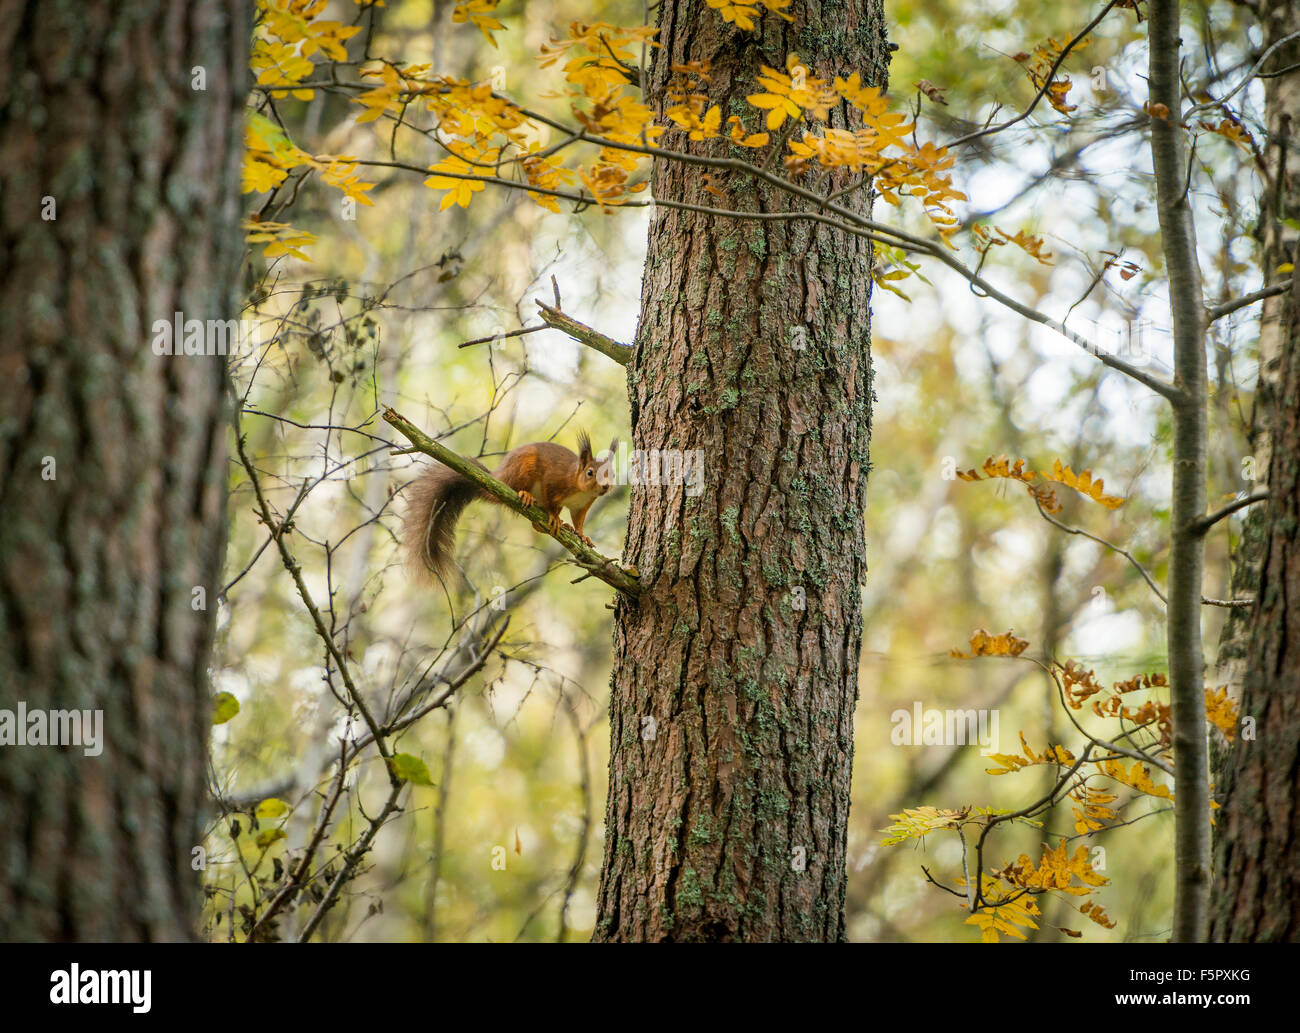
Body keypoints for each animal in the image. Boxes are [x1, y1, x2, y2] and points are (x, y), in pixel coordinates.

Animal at [403, 431, 618, 579]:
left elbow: (579, 520)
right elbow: (551, 503)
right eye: (590, 472)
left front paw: (582, 535)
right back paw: (528, 497)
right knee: (526, 503)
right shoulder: (553, 481)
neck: (580, 488)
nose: (606, 486)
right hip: (523, 470)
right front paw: (555, 518)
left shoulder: (581, 505)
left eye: (613, 473)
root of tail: (499, 477)